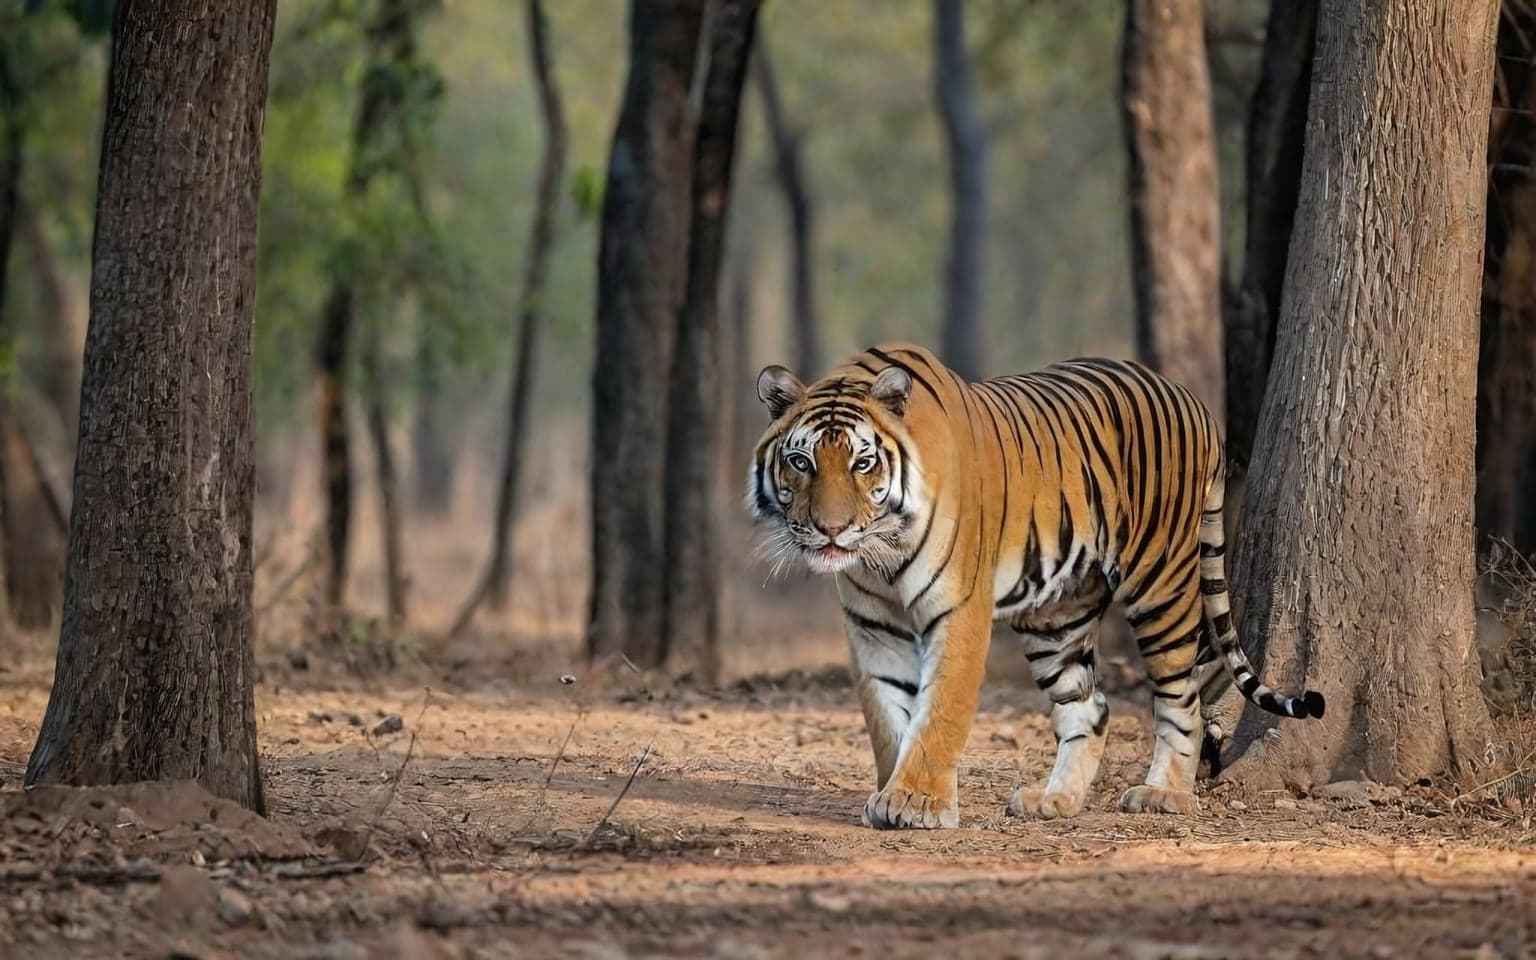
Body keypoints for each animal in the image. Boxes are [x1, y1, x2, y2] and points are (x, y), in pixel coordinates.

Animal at [747, 342, 1323, 829]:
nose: (831, 530)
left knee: (1183, 694)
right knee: (1091, 707)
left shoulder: (959, 609)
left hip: (1160, 584)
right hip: (1057, 616)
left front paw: (916, 803)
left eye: (863, 463)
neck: (881, 555)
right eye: (800, 462)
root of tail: (1194, 403)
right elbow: (888, 716)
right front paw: (893, 792)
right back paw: (1055, 799)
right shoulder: (873, 625)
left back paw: (1165, 794)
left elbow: (940, 710)